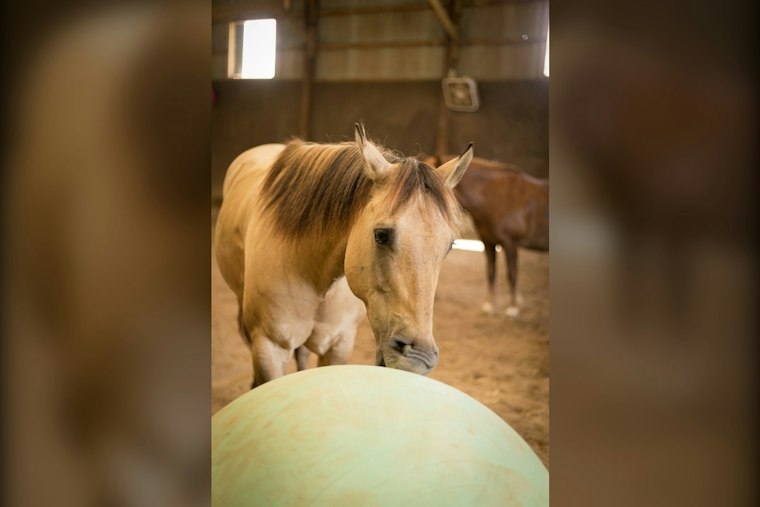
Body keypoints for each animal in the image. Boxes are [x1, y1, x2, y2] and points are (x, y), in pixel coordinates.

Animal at [215, 124, 474, 387]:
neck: (313, 273)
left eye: (450, 245)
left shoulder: (339, 345)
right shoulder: (269, 348)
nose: (417, 358)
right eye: (381, 235)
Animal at [424, 155, 548, 317]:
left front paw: (513, 307)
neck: (495, 196)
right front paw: (489, 305)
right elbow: (490, 273)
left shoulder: (511, 243)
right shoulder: (488, 242)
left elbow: (512, 274)